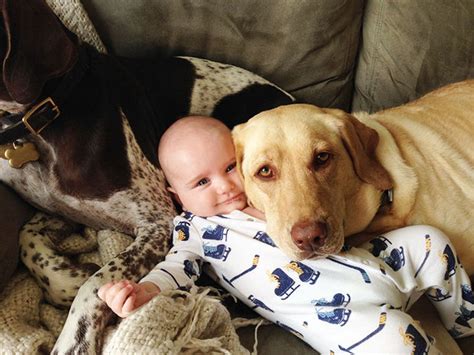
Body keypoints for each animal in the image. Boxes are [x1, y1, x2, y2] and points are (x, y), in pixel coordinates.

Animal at [0, 0, 294, 354]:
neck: (45, 119)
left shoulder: (158, 221)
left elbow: (97, 283)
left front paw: (74, 337)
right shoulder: (62, 209)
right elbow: (26, 238)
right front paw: (66, 280)